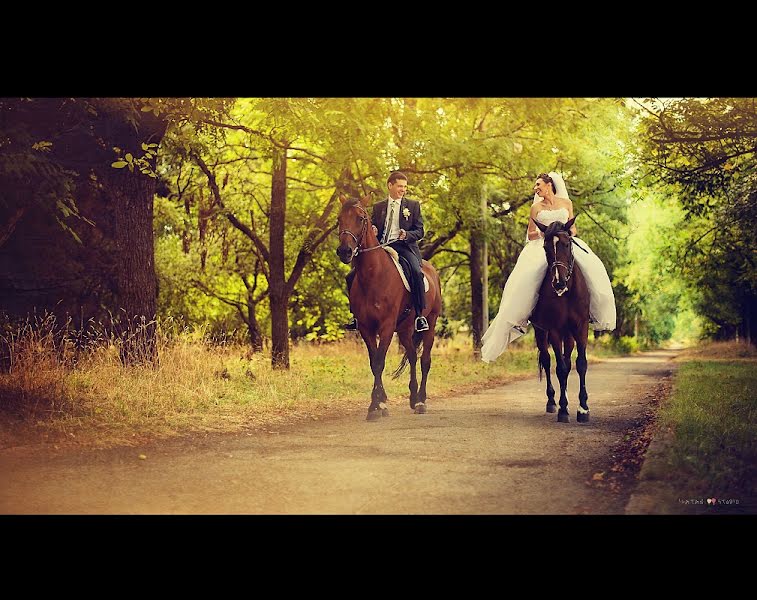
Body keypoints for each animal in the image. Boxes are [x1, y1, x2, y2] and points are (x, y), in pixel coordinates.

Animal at [336, 195, 442, 420]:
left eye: (360, 218)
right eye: (339, 219)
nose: (344, 251)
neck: (373, 275)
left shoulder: (385, 326)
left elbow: (379, 362)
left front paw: (379, 404)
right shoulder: (366, 328)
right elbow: (373, 363)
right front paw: (376, 404)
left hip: (430, 323)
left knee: (425, 360)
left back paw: (421, 401)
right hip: (404, 329)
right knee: (412, 356)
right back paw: (413, 398)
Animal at [528, 216, 588, 422]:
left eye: (567, 244)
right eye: (545, 247)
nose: (559, 283)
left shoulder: (581, 326)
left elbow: (580, 364)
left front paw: (583, 409)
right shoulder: (553, 329)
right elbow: (559, 368)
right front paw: (562, 409)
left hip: (568, 333)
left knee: (567, 360)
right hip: (541, 331)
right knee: (547, 360)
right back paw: (552, 401)